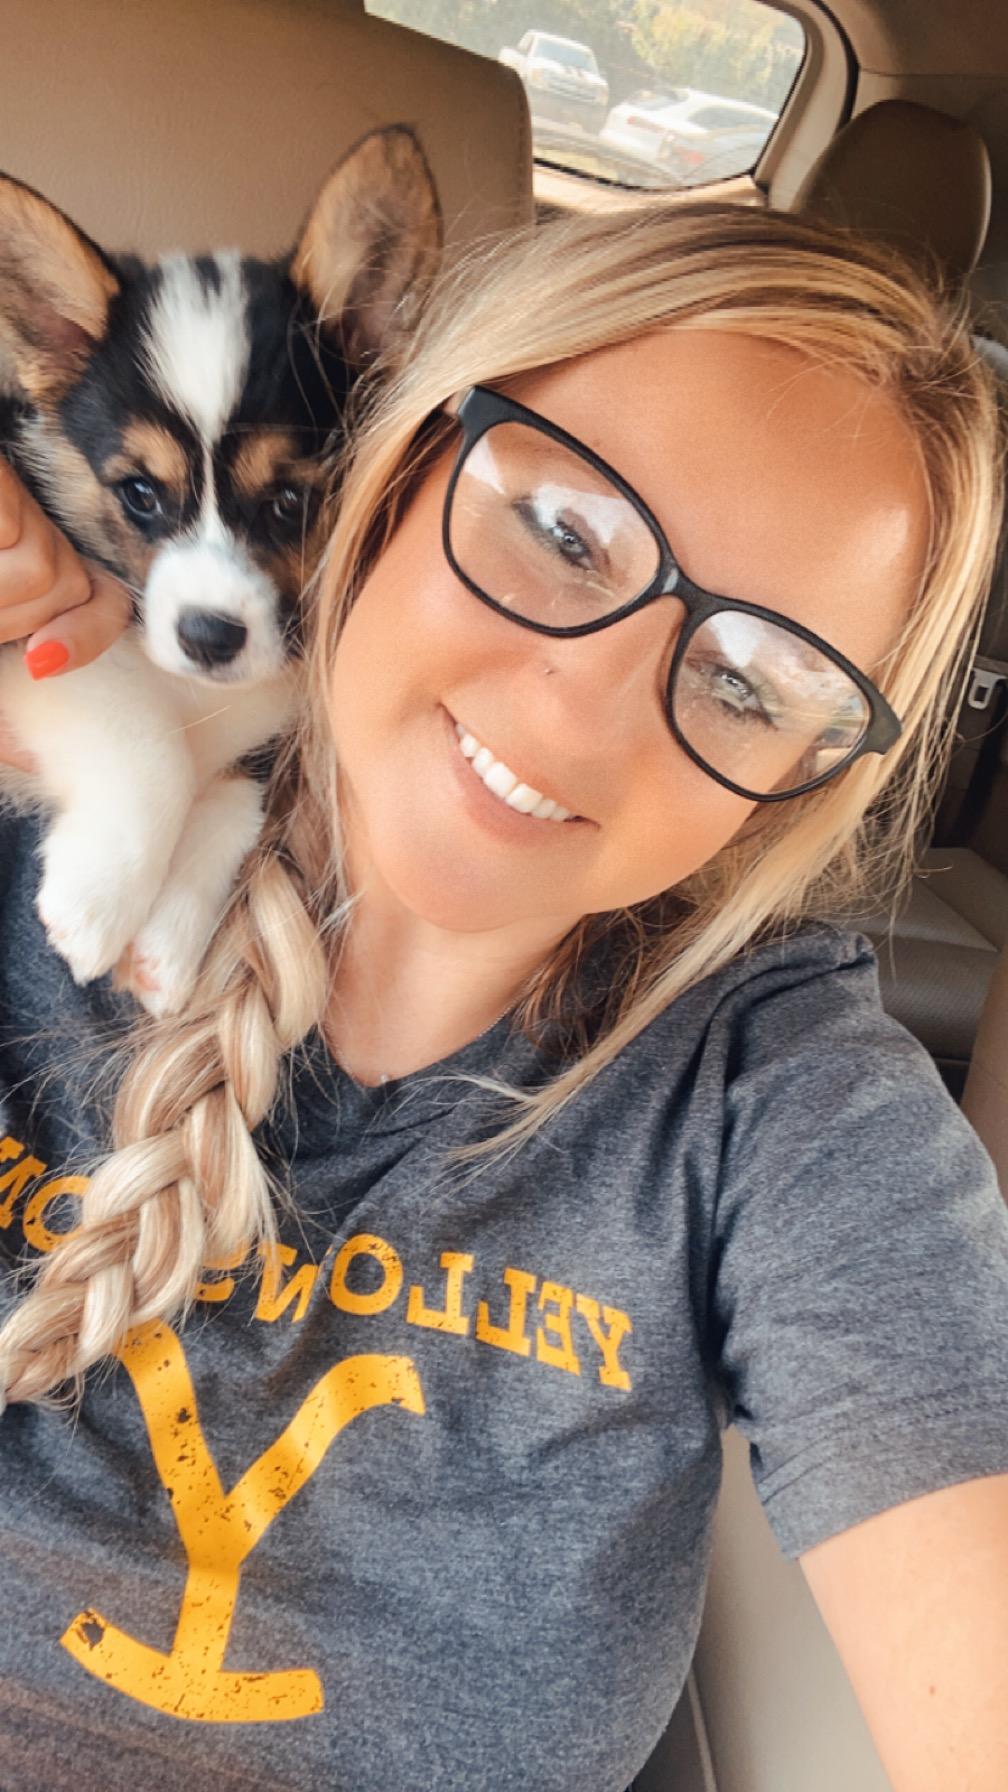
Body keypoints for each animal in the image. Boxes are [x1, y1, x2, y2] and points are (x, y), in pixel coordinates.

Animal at [0, 126, 441, 1015]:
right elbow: (152, 745)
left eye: (289, 501)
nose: (209, 637)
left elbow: (241, 795)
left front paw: (166, 940)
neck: (202, 695)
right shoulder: (45, 647)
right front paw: (99, 899)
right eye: (139, 494)